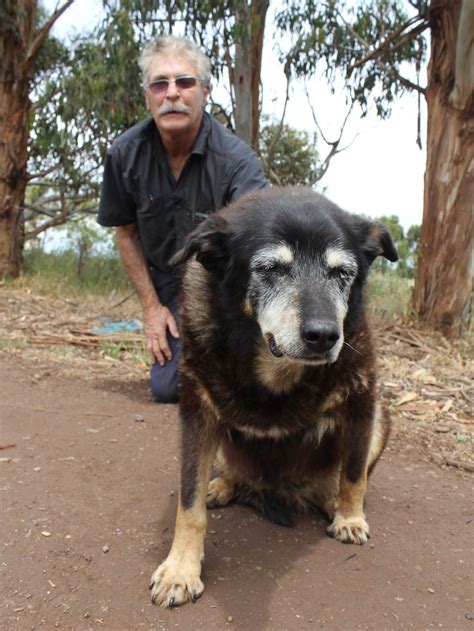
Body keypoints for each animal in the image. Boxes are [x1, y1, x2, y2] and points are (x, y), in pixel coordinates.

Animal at [150, 186, 398, 608]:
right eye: (270, 269)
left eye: (343, 273)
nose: (324, 336)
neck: (274, 368)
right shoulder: (198, 411)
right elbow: (189, 501)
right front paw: (181, 569)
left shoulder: (362, 399)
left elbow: (353, 474)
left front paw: (350, 517)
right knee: (232, 473)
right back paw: (224, 485)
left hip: (381, 419)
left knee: (343, 474)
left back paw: (331, 501)